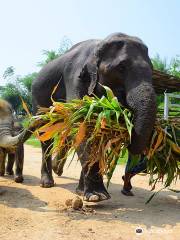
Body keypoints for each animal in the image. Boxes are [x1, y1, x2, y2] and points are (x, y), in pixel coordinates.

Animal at [32, 31, 156, 201]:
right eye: (121, 67)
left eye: (152, 69)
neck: (99, 45)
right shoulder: (75, 77)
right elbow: (82, 125)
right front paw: (97, 196)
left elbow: (94, 130)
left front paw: (83, 192)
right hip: (39, 100)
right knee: (46, 134)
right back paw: (47, 182)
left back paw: (60, 172)